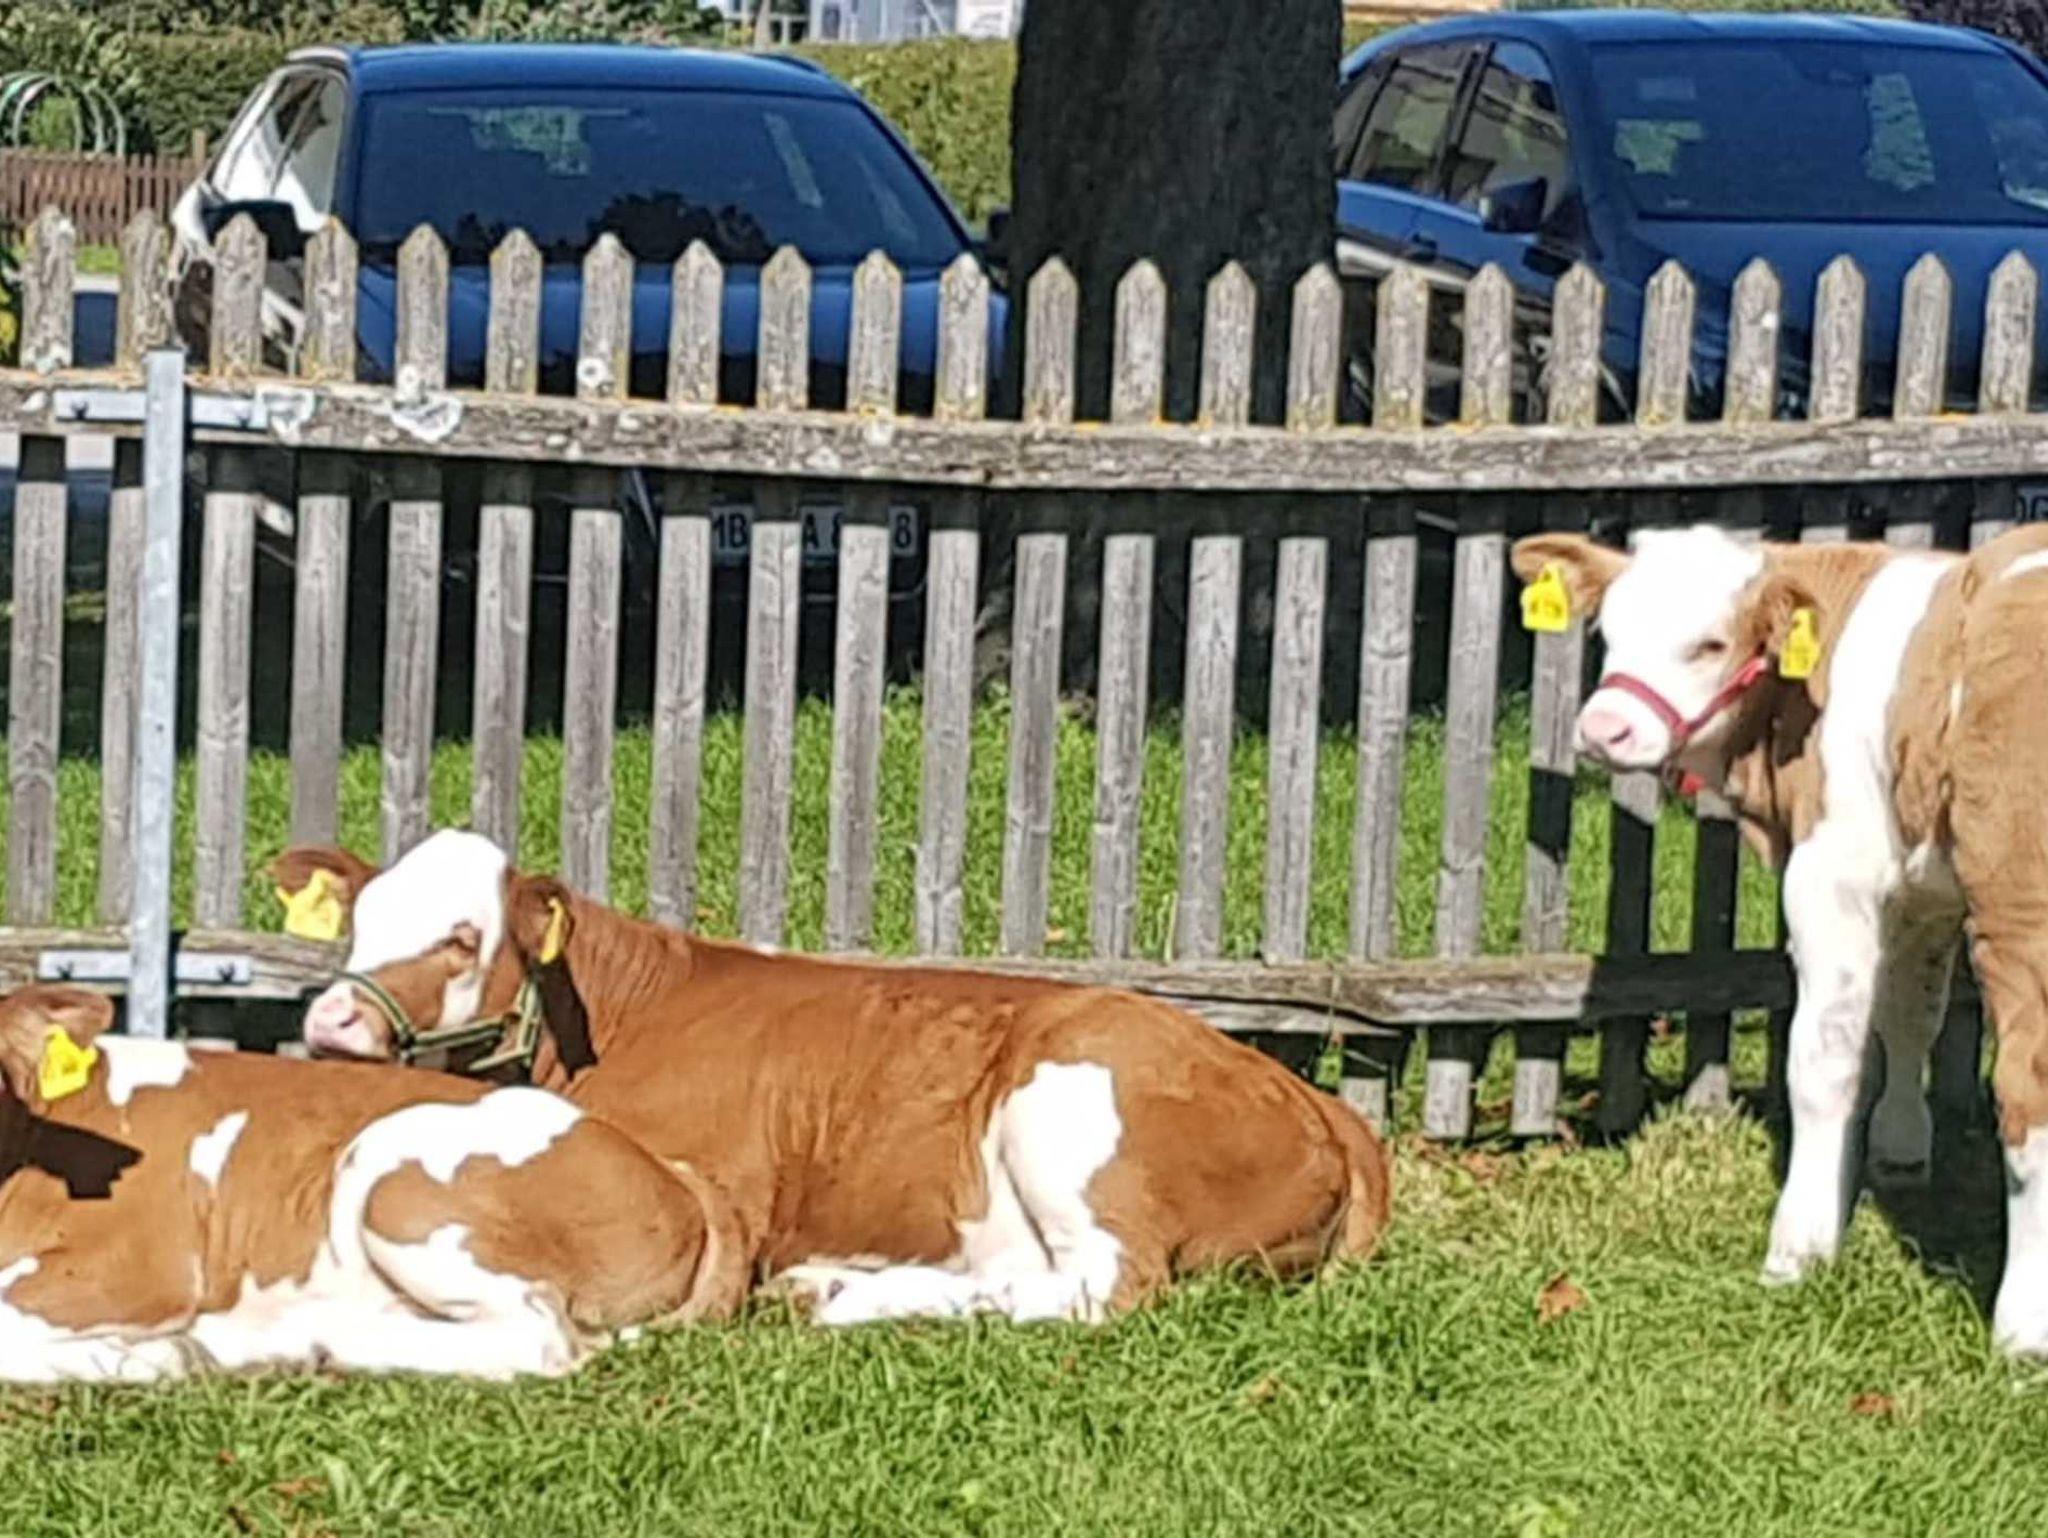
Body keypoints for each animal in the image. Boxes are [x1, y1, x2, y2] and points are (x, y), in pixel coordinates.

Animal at [274, 831, 1391, 1327]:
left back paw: (845, 1300)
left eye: (463, 937)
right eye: (357, 923)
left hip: (1071, 1101)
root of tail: (1310, 1095)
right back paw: (839, 1280)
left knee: (1098, 1287)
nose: (330, 1022)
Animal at [1512, 520, 2048, 1354]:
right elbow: (1911, 1016)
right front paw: (1900, 1148)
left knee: (2028, 1094)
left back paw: (2022, 1330)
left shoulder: (1831, 872)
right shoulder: (1923, 881)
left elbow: (1823, 1061)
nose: (1604, 730)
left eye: (1709, 643)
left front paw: (1799, 1248)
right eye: (1608, 631)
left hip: (2023, 908)